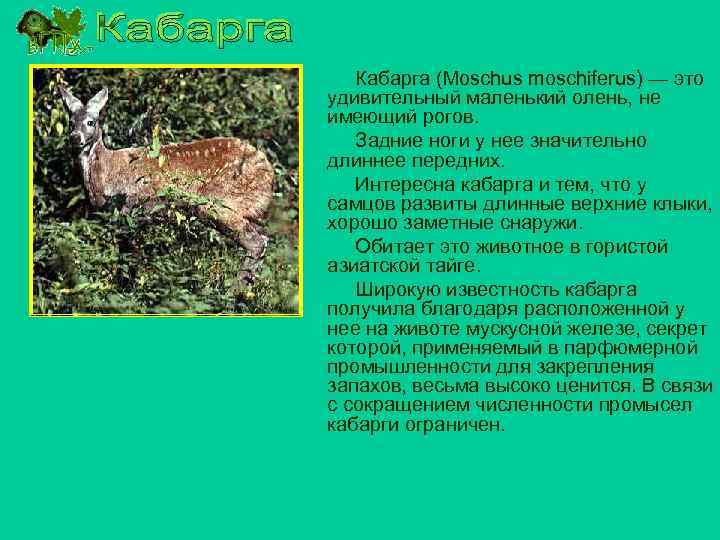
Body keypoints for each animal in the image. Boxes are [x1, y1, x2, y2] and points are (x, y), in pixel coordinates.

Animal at [59, 86, 274, 281]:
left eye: (91, 122)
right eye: (70, 122)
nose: (75, 137)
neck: (105, 175)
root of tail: (269, 175)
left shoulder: (131, 206)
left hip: (220, 202)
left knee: (256, 242)